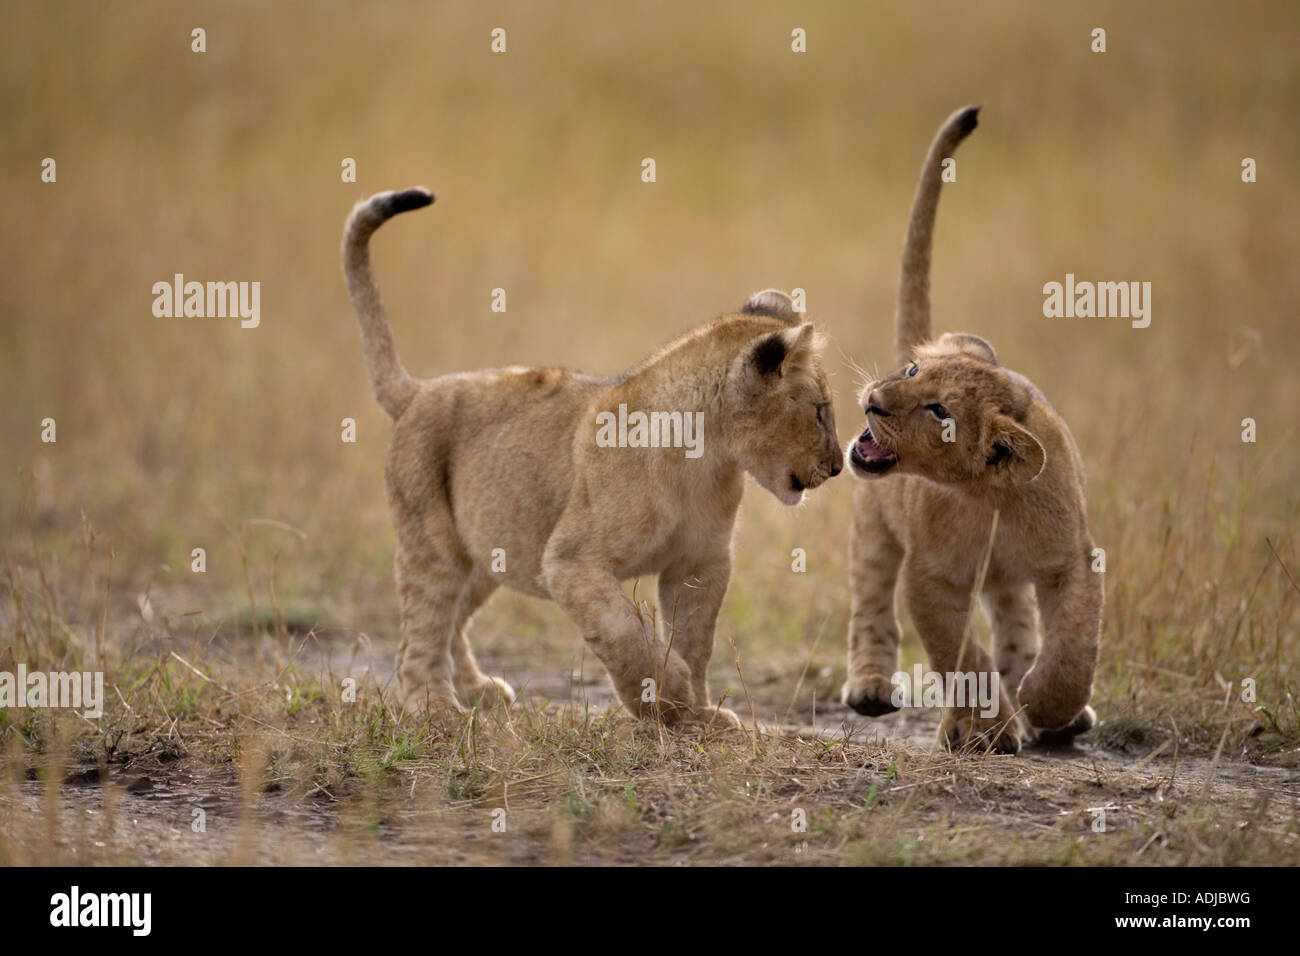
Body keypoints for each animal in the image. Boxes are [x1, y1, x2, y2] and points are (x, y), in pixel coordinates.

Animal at [343, 188, 843, 726]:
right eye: (820, 412)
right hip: (435, 545)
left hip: (492, 548)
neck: (706, 459)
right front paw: (665, 700)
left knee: (451, 619)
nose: (839, 466)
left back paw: (476, 690)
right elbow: (627, 634)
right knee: (421, 629)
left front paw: (698, 713)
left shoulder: (700, 562)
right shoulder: (569, 561)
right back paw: (432, 707)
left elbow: (694, 639)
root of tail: (418, 390)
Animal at [841, 107, 1102, 753]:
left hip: (1009, 579)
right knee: (870, 601)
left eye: (940, 412)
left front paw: (1049, 703)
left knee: (1015, 623)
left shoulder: (1073, 560)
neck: (989, 498)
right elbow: (961, 656)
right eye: (914, 372)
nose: (874, 402)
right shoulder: (931, 575)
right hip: (874, 528)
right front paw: (983, 729)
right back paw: (873, 689)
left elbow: (1074, 645)